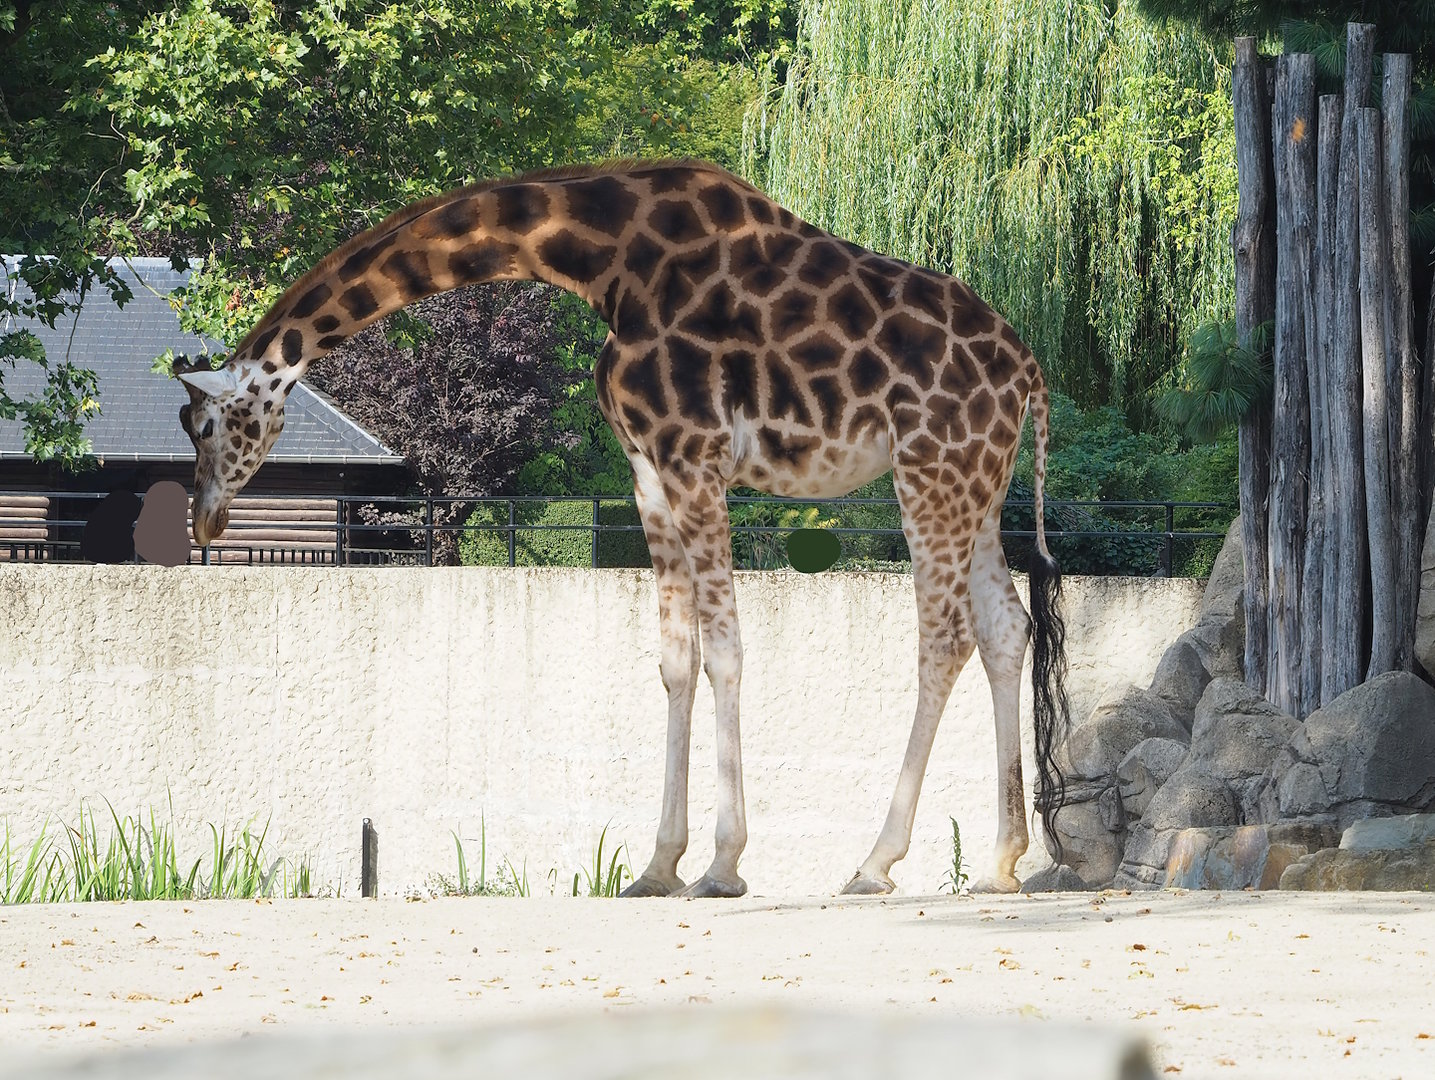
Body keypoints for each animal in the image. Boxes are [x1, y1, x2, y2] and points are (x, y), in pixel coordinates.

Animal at [174, 159, 1070, 897]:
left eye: (205, 424)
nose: (206, 522)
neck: (600, 263)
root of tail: (1030, 370)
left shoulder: (694, 456)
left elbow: (725, 651)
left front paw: (722, 866)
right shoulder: (647, 472)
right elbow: (675, 662)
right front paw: (658, 865)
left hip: (931, 469)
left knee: (943, 636)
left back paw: (874, 862)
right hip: (975, 482)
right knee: (1004, 626)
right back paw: (1000, 862)